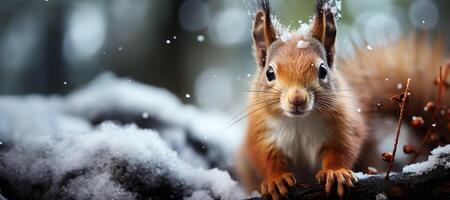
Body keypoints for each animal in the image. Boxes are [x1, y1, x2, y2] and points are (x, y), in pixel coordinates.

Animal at [234, 0, 448, 198]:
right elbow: (264, 157)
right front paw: (276, 180)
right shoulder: (260, 132)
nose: (297, 99)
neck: (299, 123)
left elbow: (343, 148)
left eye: (322, 70)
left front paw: (335, 173)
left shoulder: (344, 124)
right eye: (269, 73)